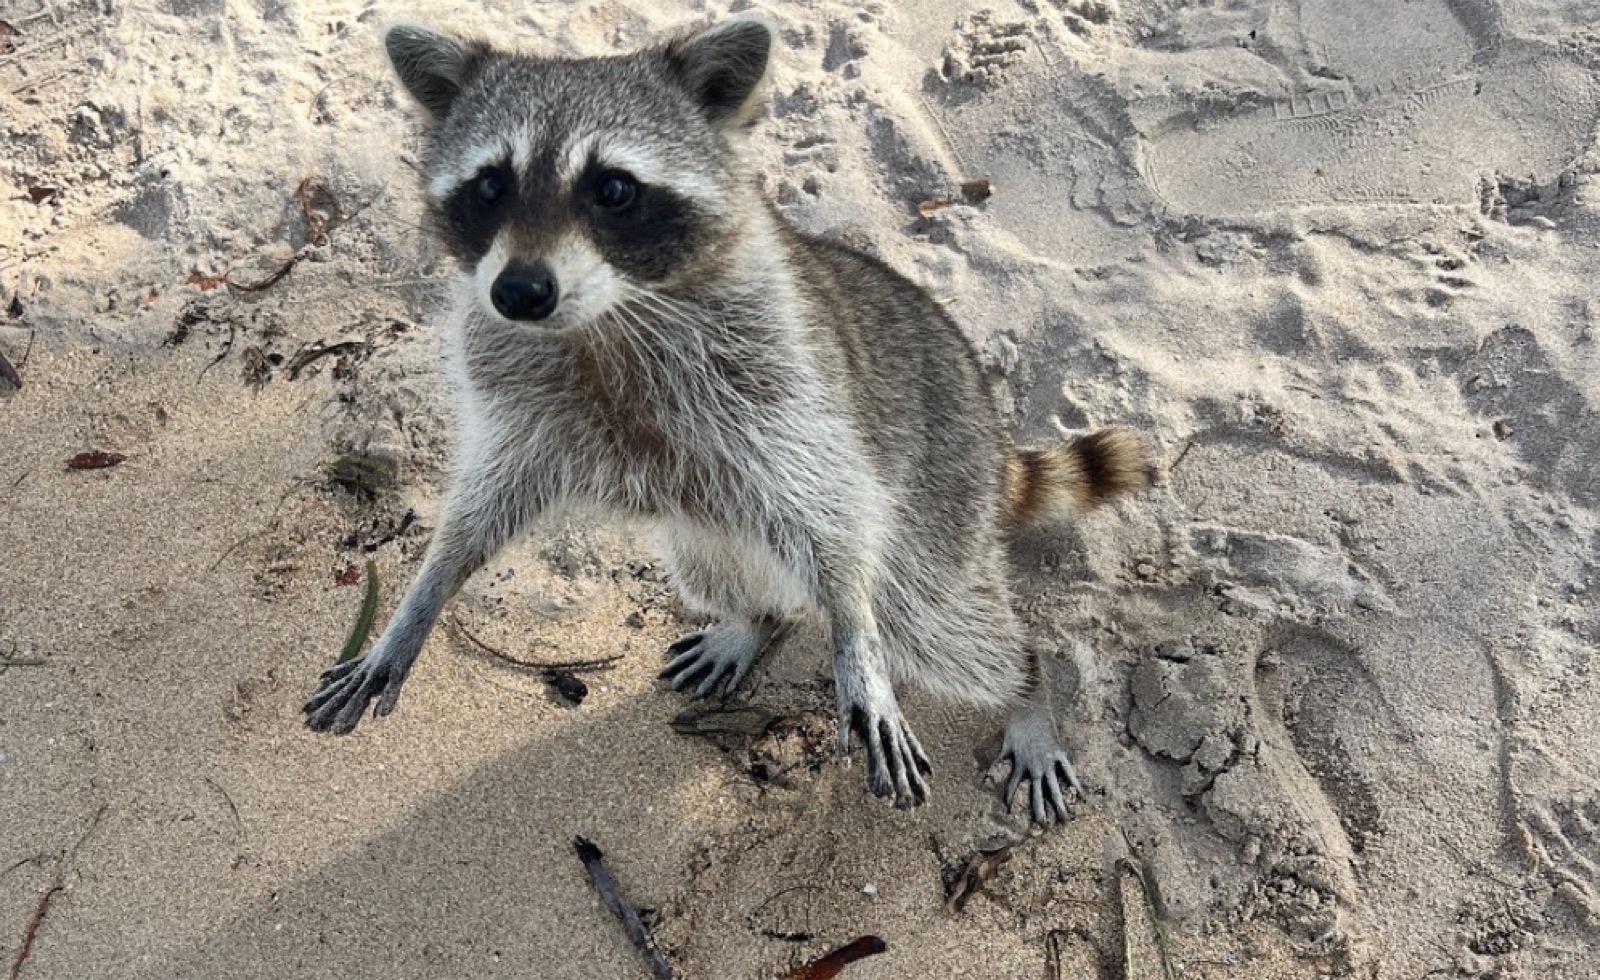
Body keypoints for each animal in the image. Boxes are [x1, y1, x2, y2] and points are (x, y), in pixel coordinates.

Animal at [303, 18, 1148, 824]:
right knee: (728, 569)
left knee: (942, 626)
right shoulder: (514, 393)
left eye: (613, 189)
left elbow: (837, 510)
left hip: (942, 497)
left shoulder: (786, 379)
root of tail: (989, 425)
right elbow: (484, 504)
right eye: (489, 186)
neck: (605, 316)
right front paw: (419, 600)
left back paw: (1026, 693)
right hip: (713, 528)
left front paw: (857, 641)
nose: (519, 292)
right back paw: (757, 618)